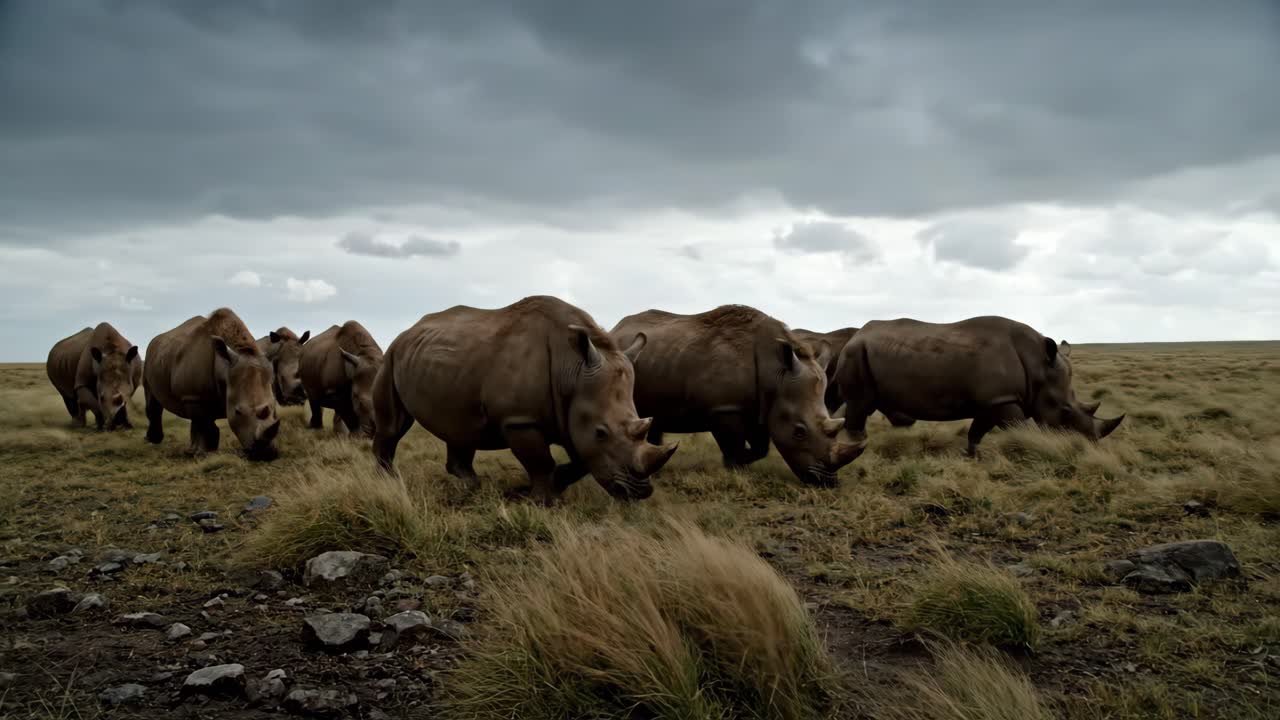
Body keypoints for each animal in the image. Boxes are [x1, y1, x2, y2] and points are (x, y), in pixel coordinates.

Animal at [143, 308, 281, 460]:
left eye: (273, 407)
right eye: (238, 412)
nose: (266, 454)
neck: (225, 368)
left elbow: (205, 424)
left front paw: (206, 452)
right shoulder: (193, 396)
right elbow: (203, 425)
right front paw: (201, 454)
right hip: (148, 357)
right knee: (152, 400)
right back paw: (153, 440)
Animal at [371, 296, 678, 504]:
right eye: (601, 432)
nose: (640, 493)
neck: (572, 370)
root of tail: (409, 330)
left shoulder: (571, 412)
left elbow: (580, 461)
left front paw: (552, 484)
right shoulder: (519, 420)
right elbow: (540, 462)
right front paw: (544, 501)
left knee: (459, 426)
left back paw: (472, 486)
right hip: (391, 356)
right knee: (393, 426)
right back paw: (389, 483)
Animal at [607, 305, 865, 487]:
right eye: (799, 432)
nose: (827, 482)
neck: (776, 373)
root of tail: (615, 330)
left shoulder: (762, 405)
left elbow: (761, 447)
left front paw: (743, 462)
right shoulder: (725, 408)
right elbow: (733, 444)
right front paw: (734, 467)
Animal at [835, 316, 1123, 456]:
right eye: (1064, 412)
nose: (1090, 444)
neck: (1038, 365)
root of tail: (856, 335)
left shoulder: (992, 400)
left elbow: (977, 431)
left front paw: (972, 456)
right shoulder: (1003, 398)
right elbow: (1019, 428)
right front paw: (1031, 447)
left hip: (867, 353)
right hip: (855, 354)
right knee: (859, 404)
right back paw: (859, 446)